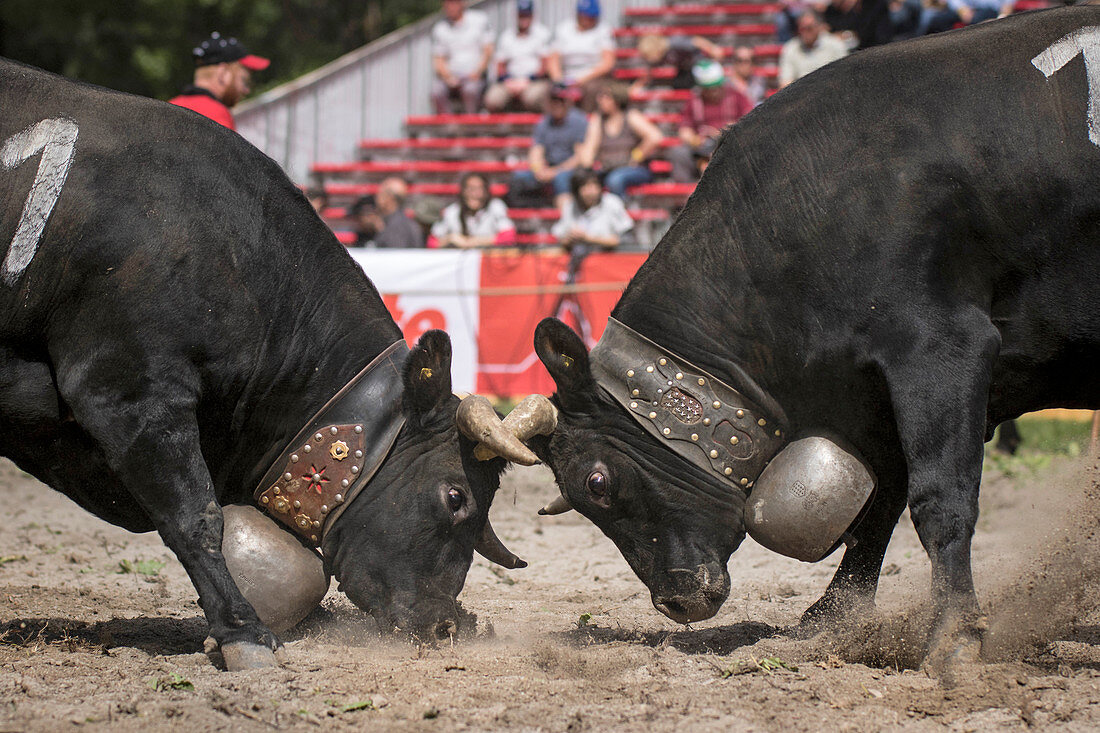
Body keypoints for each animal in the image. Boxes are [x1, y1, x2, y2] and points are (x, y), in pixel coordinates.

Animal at [512, 5, 1100, 669]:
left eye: (597, 482)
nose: (675, 600)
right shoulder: (876, 395)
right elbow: (878, 504)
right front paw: (833, 619)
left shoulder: (940, 349)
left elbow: (938, 499)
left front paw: (953, 635)